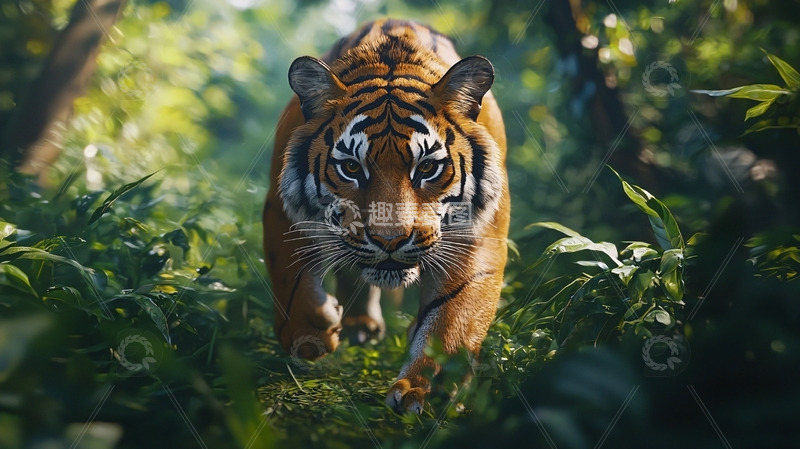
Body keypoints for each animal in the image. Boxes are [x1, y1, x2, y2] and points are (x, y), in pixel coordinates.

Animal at [262, 18, 509, 413]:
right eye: (351, 167)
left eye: (427, 167)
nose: (390, 241)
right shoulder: (281, 208)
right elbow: (290, 278)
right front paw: (309, 334)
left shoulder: (477, 235)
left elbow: (453, 315)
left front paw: (427, 389)